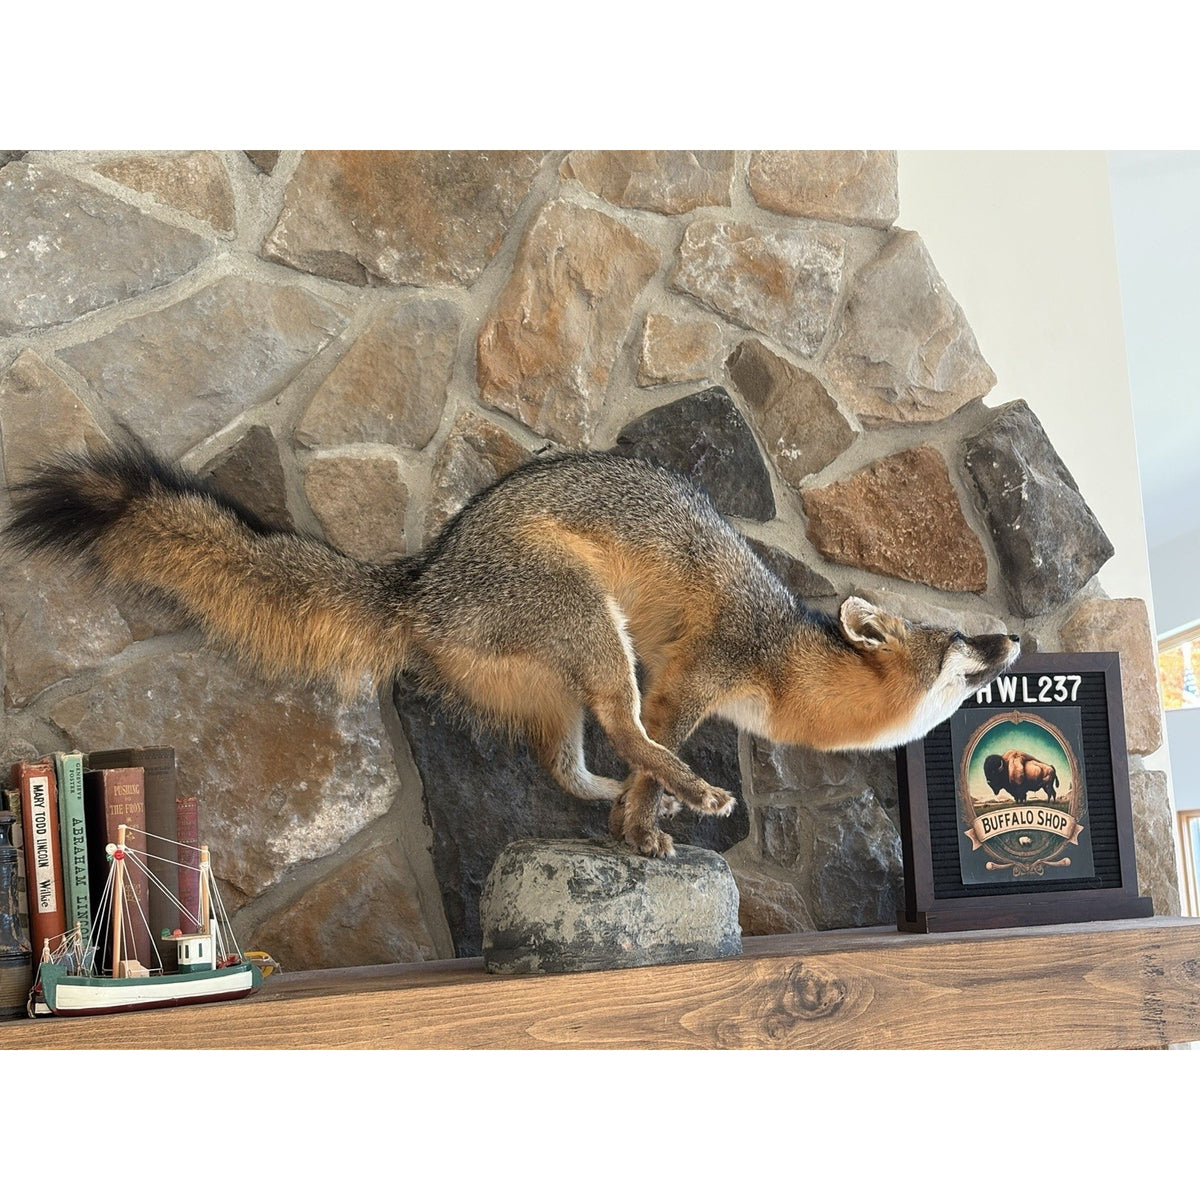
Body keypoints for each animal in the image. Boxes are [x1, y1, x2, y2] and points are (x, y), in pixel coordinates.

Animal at [4, 443, 1021, 857]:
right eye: (962, 640)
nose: (1015, 634)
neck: (784, 662)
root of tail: (424, 575)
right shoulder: (687, 682)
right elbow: (655, 740)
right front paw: (652, 820)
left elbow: (630, 771)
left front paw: (637, 827)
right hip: (596, 633)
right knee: (619, 732)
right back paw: (691, 792)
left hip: (559, 689)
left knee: (563, 766)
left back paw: (614, 797)